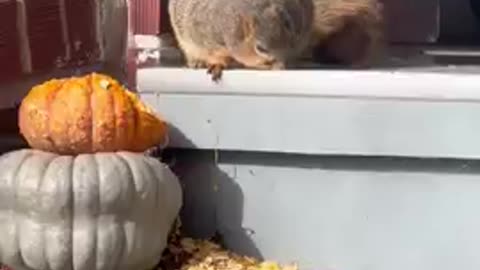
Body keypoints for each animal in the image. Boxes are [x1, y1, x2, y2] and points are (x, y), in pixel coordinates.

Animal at [169, 0, 316, 80]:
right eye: (260, 48)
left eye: (289, 25)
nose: (282, 65)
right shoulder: (205, 37)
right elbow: (214, 56)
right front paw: (218, 65)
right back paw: (197, 62)